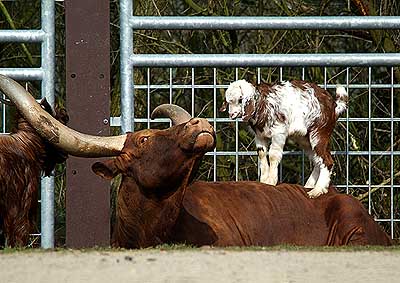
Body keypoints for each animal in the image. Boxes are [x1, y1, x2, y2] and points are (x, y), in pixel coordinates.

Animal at [220, 79, 348, 199]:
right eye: (228, 101)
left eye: (240, 100)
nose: (231, 114)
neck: (262, 103)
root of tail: (334, 107)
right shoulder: (260, 136)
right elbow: (262, 154)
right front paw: (263, 180)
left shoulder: (279, 132)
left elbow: (273, 155)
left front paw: (271, 181)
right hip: (305, 140)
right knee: (317, 161)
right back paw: (309, 186)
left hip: (319, 133)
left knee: (327, 161)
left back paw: (317, 190)